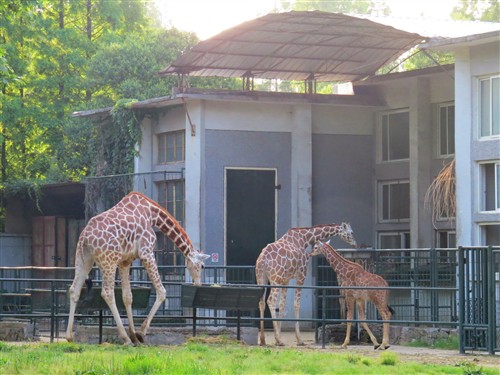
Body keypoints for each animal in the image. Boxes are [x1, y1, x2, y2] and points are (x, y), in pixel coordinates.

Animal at [65, 192, 208, 346]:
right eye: (202, 266)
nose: (198, 283)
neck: (152, 214)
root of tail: (85, 237)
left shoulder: (125, 261)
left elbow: (128, 296)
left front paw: (134, 335)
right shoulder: (146, 252)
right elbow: (162, 292)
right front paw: (140, 333)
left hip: (84, 260)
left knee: (74, 290)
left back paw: (69, 337)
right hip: (109, 261)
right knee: (107, 293)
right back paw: (125, 338)